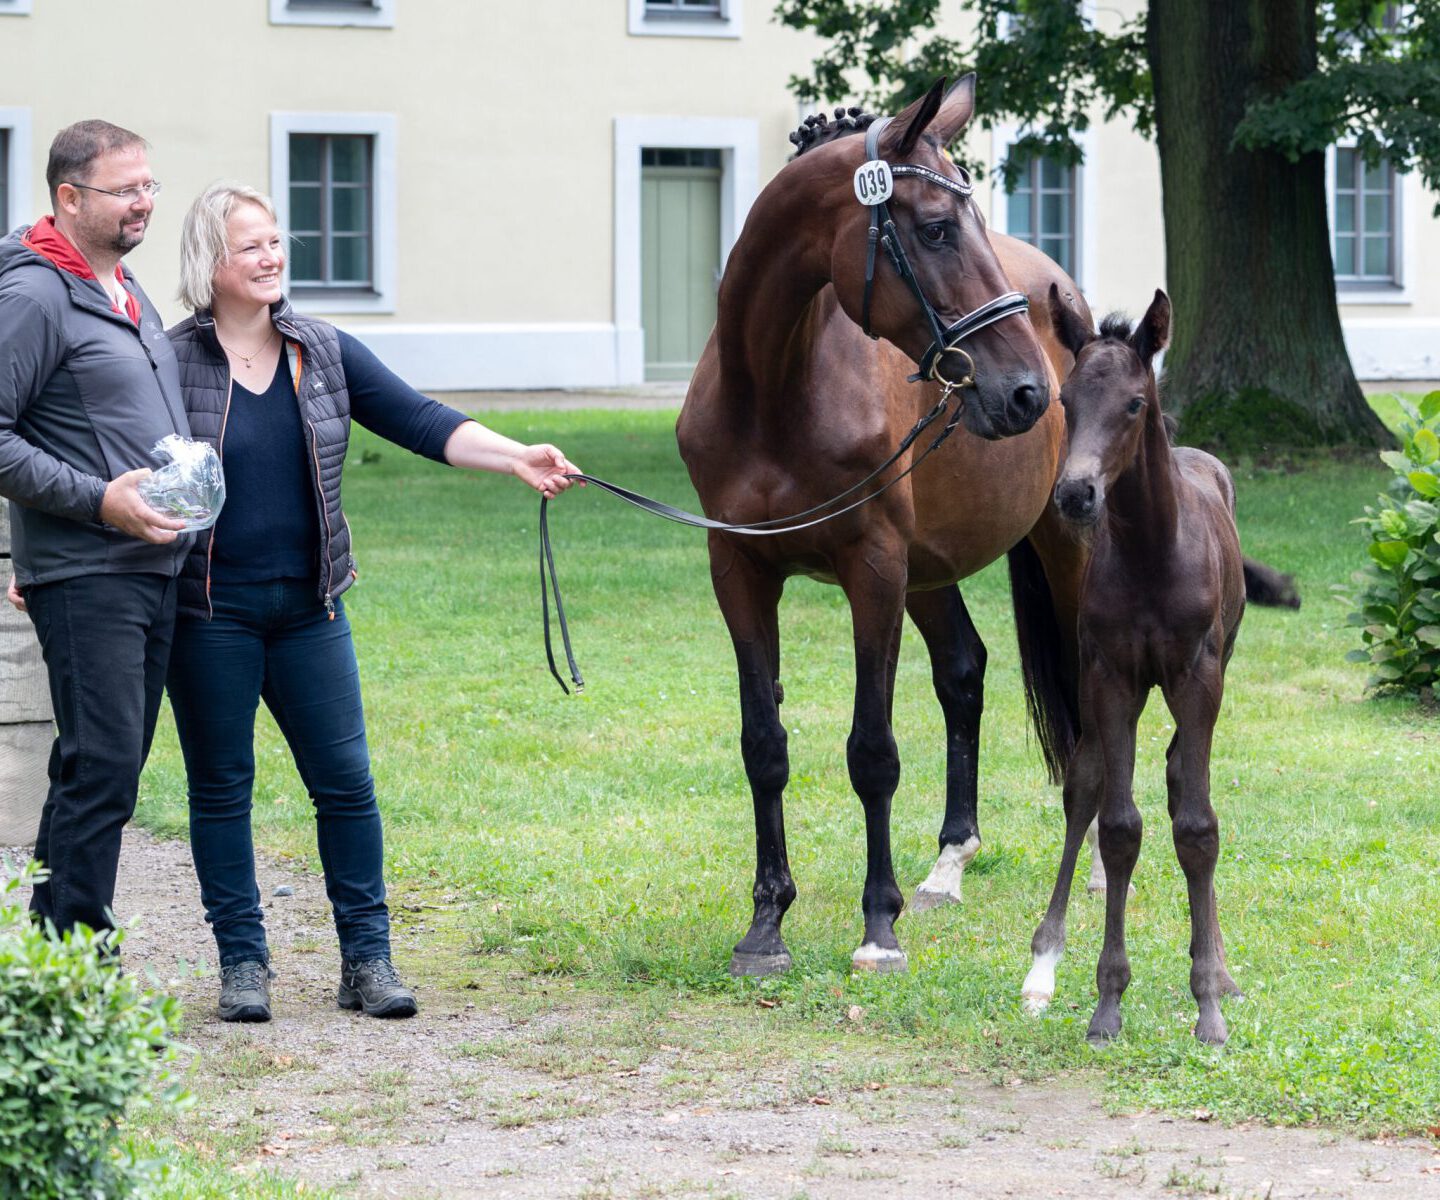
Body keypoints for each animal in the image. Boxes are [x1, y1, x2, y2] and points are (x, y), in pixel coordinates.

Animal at [676, 74, 1088, 973]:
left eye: (974, 223)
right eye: (936, 228)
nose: (1027, 394)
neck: (774, 390)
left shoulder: (873, 568)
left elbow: (872, 750)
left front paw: (878, 926)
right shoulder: (740, 571)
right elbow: (764, 744)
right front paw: (766, 923)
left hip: (1061, 545)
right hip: (929, 571)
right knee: (964, 670)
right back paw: (948, 866)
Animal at [1025, 285, 1249, 1042]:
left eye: (1132, 404)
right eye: (1065, 400)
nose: (1075, 495)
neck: (1154, 550)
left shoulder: (1198, 676)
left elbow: (1199, 826)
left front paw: (1208, 1002)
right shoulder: (1110, 677)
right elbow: (1118, 825)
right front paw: (1107, 1003)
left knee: (1181, 779)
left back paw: (1219, 966)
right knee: (1086, 787)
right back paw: (1043, 965)